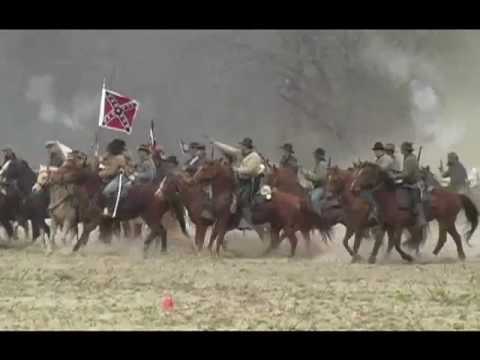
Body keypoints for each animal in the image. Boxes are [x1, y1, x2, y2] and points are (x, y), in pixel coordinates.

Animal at [350, 163, 478, 262]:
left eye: (365, 173)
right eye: (357, 173)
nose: (353, 188)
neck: (390, 198)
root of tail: (456, 195)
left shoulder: (399, 226)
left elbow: (395, 243)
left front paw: (407, 257)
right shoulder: (385, 225)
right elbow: (379, 241)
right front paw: (373, 257)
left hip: (447, 220)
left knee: (455, 237)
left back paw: (460, 256)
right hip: (443, 221)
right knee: (444, 238)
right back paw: (435, 255)